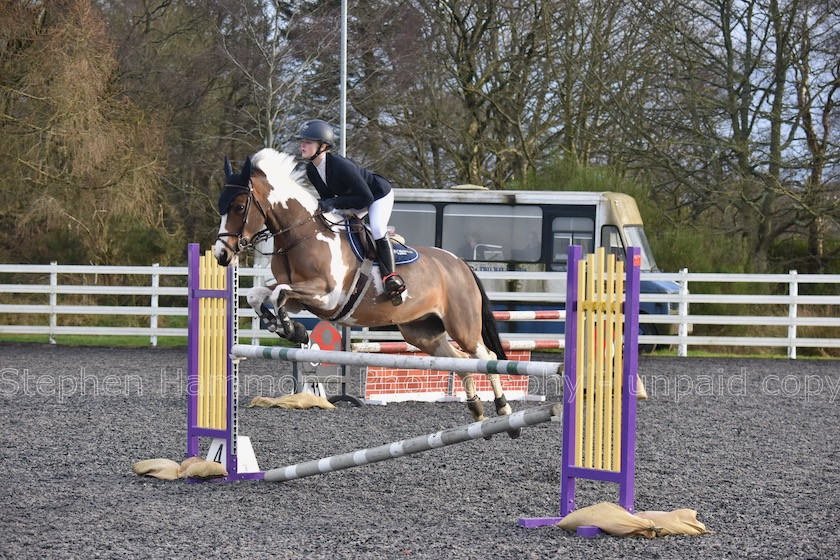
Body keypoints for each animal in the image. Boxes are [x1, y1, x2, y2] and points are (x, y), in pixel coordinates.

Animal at [215, 147, 520, 430]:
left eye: (239, 207)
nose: (221, 255)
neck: (303, 235)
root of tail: (460, 264)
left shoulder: (327, 296)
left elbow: (279, 294)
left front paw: (292, 329)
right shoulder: (299, 297)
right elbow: (259, 295)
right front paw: (283, 327)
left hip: (462, 326)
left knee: (486, 357)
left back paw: (503, 407)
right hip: (422, 332)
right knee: (459, 361)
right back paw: (476, 410)